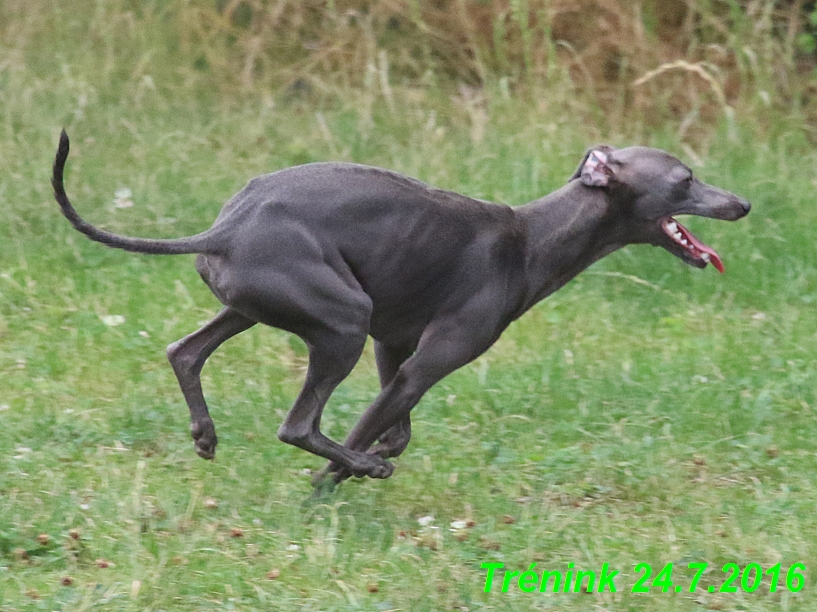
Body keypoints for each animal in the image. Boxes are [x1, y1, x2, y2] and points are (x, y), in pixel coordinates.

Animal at [51, 131, 748, 486]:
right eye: (685, 179)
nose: (742, 203)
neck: (532, 239)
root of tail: (224, 228)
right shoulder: (422, 364)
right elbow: (365, 434)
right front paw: (336, 484)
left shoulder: (394, 348)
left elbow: (400, 427)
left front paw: (375, 453)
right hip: (340, 324)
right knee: (298, 426)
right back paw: (358, 465)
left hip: (256, 308)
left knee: (186, 351)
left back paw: (205, 434)